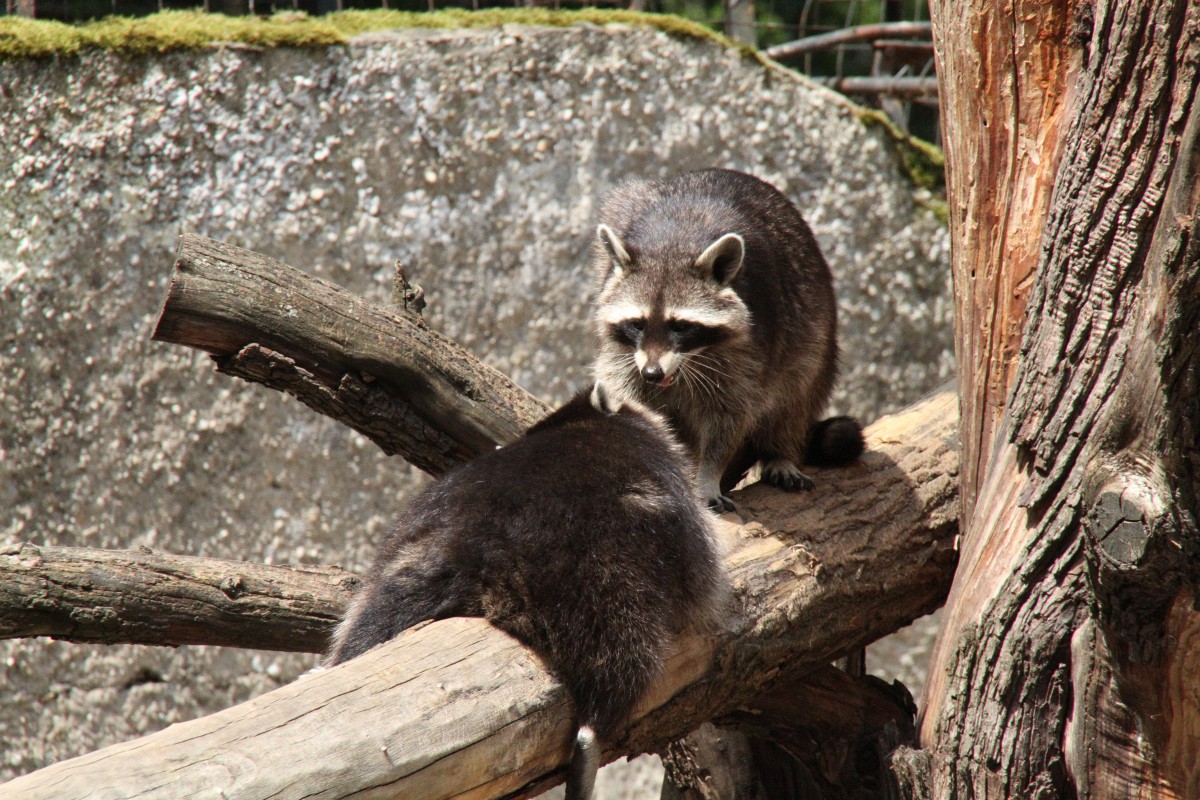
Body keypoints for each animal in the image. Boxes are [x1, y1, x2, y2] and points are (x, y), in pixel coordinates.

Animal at [590, 167, 864, 513]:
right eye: (637, 324)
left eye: (680, 326)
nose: (653, 373)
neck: (673, 243)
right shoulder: (623, 353)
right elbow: (626, 391)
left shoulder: (750, 348)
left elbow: (730, 415)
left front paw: (708, 475)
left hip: (813, 320)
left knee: (798, 388)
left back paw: (780, 450)